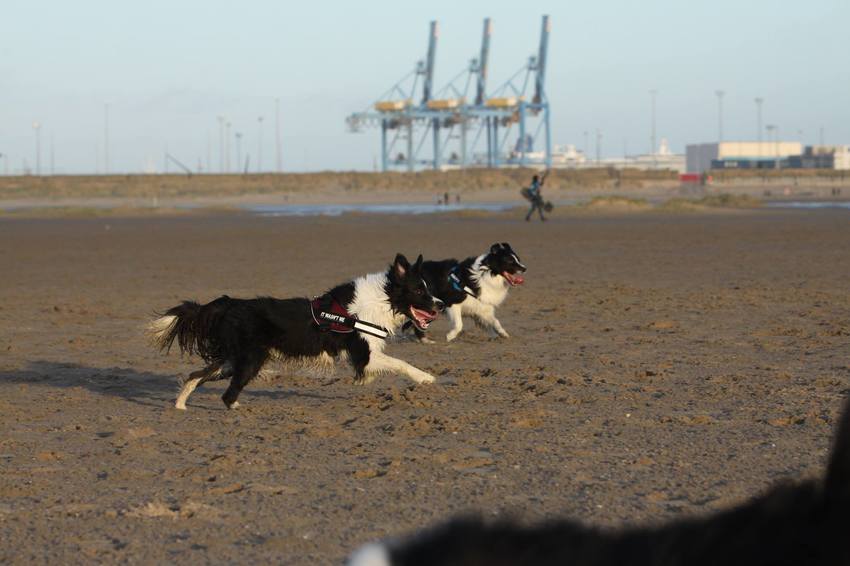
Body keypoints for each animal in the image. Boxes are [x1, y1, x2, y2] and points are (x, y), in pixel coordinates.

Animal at [149, 253, 443, 410]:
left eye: (428, 288)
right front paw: (426, 378)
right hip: (250, 360)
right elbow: (401, 363)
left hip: (232, 360)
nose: (440, 304)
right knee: (227, 394)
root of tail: (230, 303)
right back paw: (235, 407)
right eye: (419, 290)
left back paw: (180, 404)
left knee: (196, 376)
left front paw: (365, 381)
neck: (382, 299)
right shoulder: (363, 353)